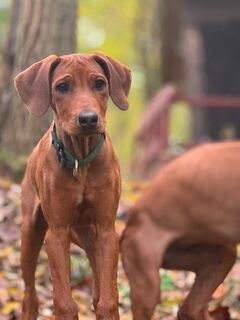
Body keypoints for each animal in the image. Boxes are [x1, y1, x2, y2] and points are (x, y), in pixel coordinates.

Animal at [14, 53, 130, 320]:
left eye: (99, 83)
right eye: (62, 87)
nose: (88, 119)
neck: (80, 160)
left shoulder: (107, 230)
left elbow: (108, 300)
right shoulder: (57, 233)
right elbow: (65, 303)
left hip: (90, 236)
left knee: (98, 291)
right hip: (31, 232)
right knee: (29, 294)